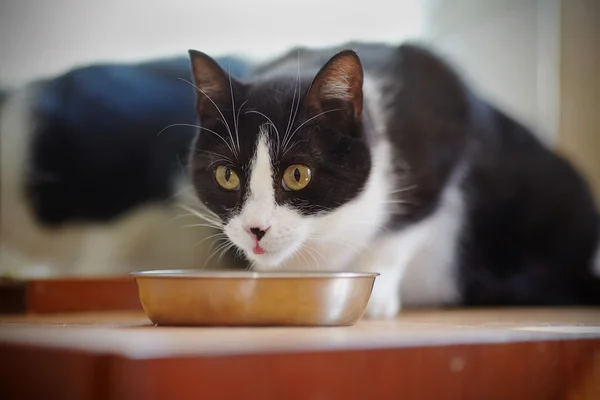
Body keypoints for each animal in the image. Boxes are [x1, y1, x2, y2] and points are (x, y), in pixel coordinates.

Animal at [186, 41, 600, 318]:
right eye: (227, 175)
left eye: (298, 174)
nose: (255, 229)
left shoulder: (443, 138)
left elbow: (404, 226)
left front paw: (376, 297)